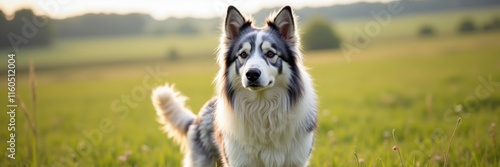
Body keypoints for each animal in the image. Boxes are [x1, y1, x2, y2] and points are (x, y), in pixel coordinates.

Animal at [150, 5, 318, 167]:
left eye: (270, 54)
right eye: (243, 54)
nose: (252, 74)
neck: (261, 107)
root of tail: (196, 118)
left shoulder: (297, 160)